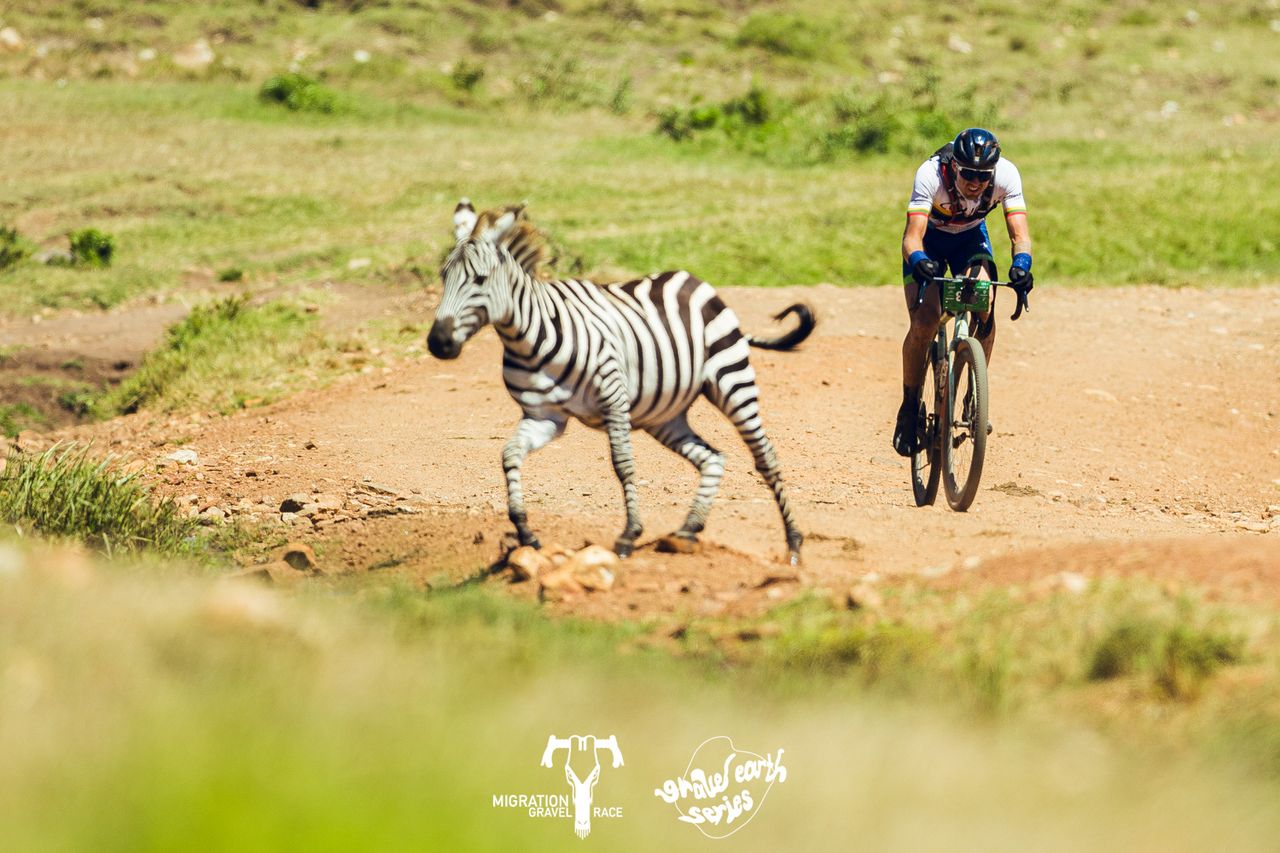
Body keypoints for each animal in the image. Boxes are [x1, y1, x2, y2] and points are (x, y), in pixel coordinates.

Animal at [427, 200, 815, 565]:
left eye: (479, 279)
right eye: (444, 277)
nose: (438, 344)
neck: (529, 340)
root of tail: (692, 279)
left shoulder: (613, 398)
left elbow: (623, 464)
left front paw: (629, 534)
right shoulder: (544, 417)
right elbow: (509, 455)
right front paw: (524, 530)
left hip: (733, 382)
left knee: (765, 456)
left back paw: (794, 542)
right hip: (664, 414)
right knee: (712, 458)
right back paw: (687, 531)